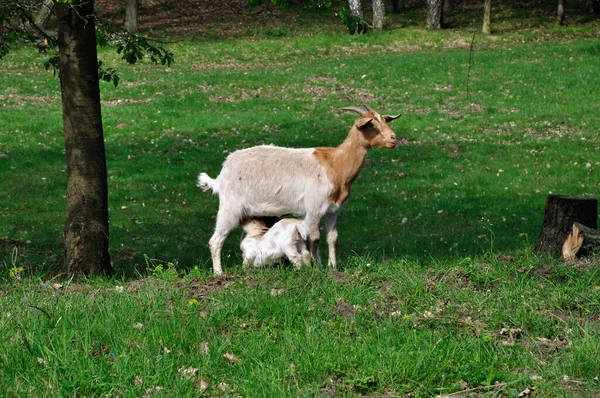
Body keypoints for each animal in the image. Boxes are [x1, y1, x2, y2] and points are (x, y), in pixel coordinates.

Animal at [199, 104, 400, 276]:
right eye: (371, 124)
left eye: (384, 120)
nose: (393, 138)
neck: (334, 163)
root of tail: (221, 174)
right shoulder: (313, 207)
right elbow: (314, 238)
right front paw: (315, 268)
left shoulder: (333, 209)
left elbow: (332, 238)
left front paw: (331, 267)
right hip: (229, 207)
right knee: (215, 240)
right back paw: (218, 273)